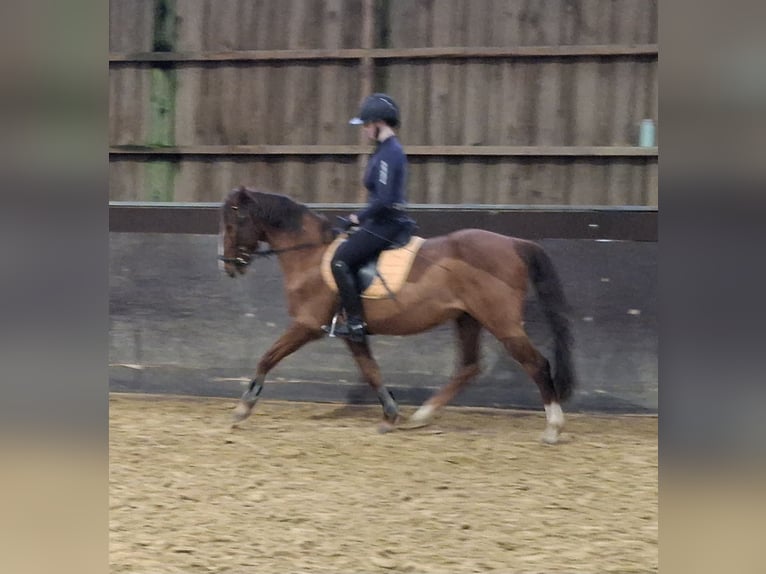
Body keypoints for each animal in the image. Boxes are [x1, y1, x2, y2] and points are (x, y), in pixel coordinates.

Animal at [218, 189, 576, 446]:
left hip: (501, 322)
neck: (310, 254)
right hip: (467, 318)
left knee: (536, 364)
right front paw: (390, 416)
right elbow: (371, 371)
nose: (228, 265)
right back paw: (422, 415)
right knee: (469, 366)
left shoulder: (306, 325)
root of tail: (515, 243)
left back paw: (553, 428)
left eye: (233, 224)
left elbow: (267, 357)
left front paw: (243, 407)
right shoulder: (352, 333)